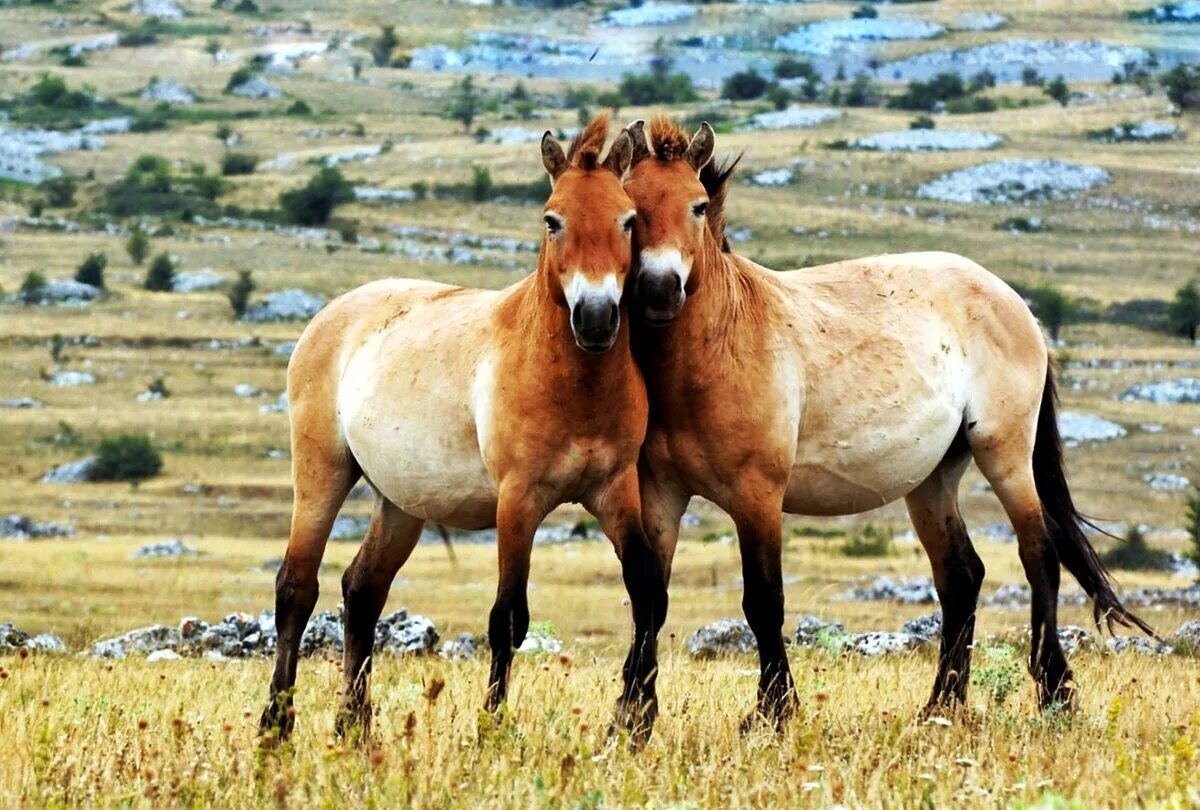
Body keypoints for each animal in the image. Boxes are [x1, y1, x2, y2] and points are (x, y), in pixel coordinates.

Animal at [258, 115, 667, 748]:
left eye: (628, 220)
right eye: (552, 219)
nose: (597, 319)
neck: (573, 383)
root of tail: (332, 314)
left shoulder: (613, 490)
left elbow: (646, 590)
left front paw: (636, 721)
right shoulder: (518, 501)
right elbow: (508, 618)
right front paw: (492, 727)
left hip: (401, 501)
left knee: (362, 588)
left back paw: (355, 726)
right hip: (322, 471)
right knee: (296, 589)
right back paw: (276, 726)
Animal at [619, 117, 1152, 729]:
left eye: (699, 206)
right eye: (630, 208)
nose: (660, 290)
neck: (719, 345)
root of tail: (1016, 303)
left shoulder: (757, 496)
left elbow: (763, 600)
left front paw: (773, 712)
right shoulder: (661, 495)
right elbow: (650, 597)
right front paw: (632, 715)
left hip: (1005, 455)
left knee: (1038, 556)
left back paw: (1055, 694)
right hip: (933, 479)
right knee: (961, 575)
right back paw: (941, 704)